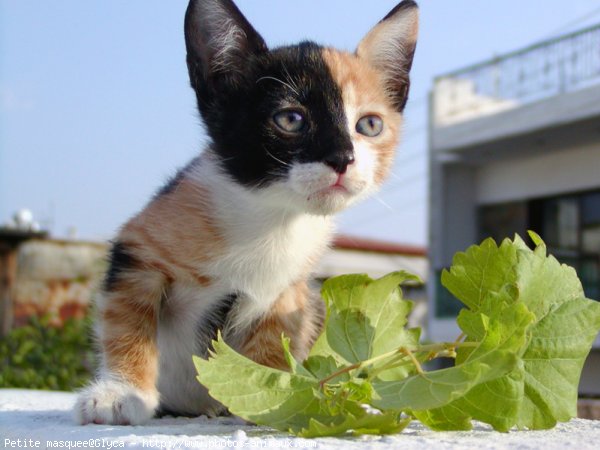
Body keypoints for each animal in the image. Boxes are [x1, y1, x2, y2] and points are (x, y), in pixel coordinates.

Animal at [75, 0, 418, 426]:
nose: (342, 158)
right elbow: (126, 321)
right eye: (291, 119)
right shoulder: (140, 248)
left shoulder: (290, 288)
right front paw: (120, 392)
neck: (272, 218)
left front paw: (271, 398)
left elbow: (275, 338)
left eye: (369, 125)